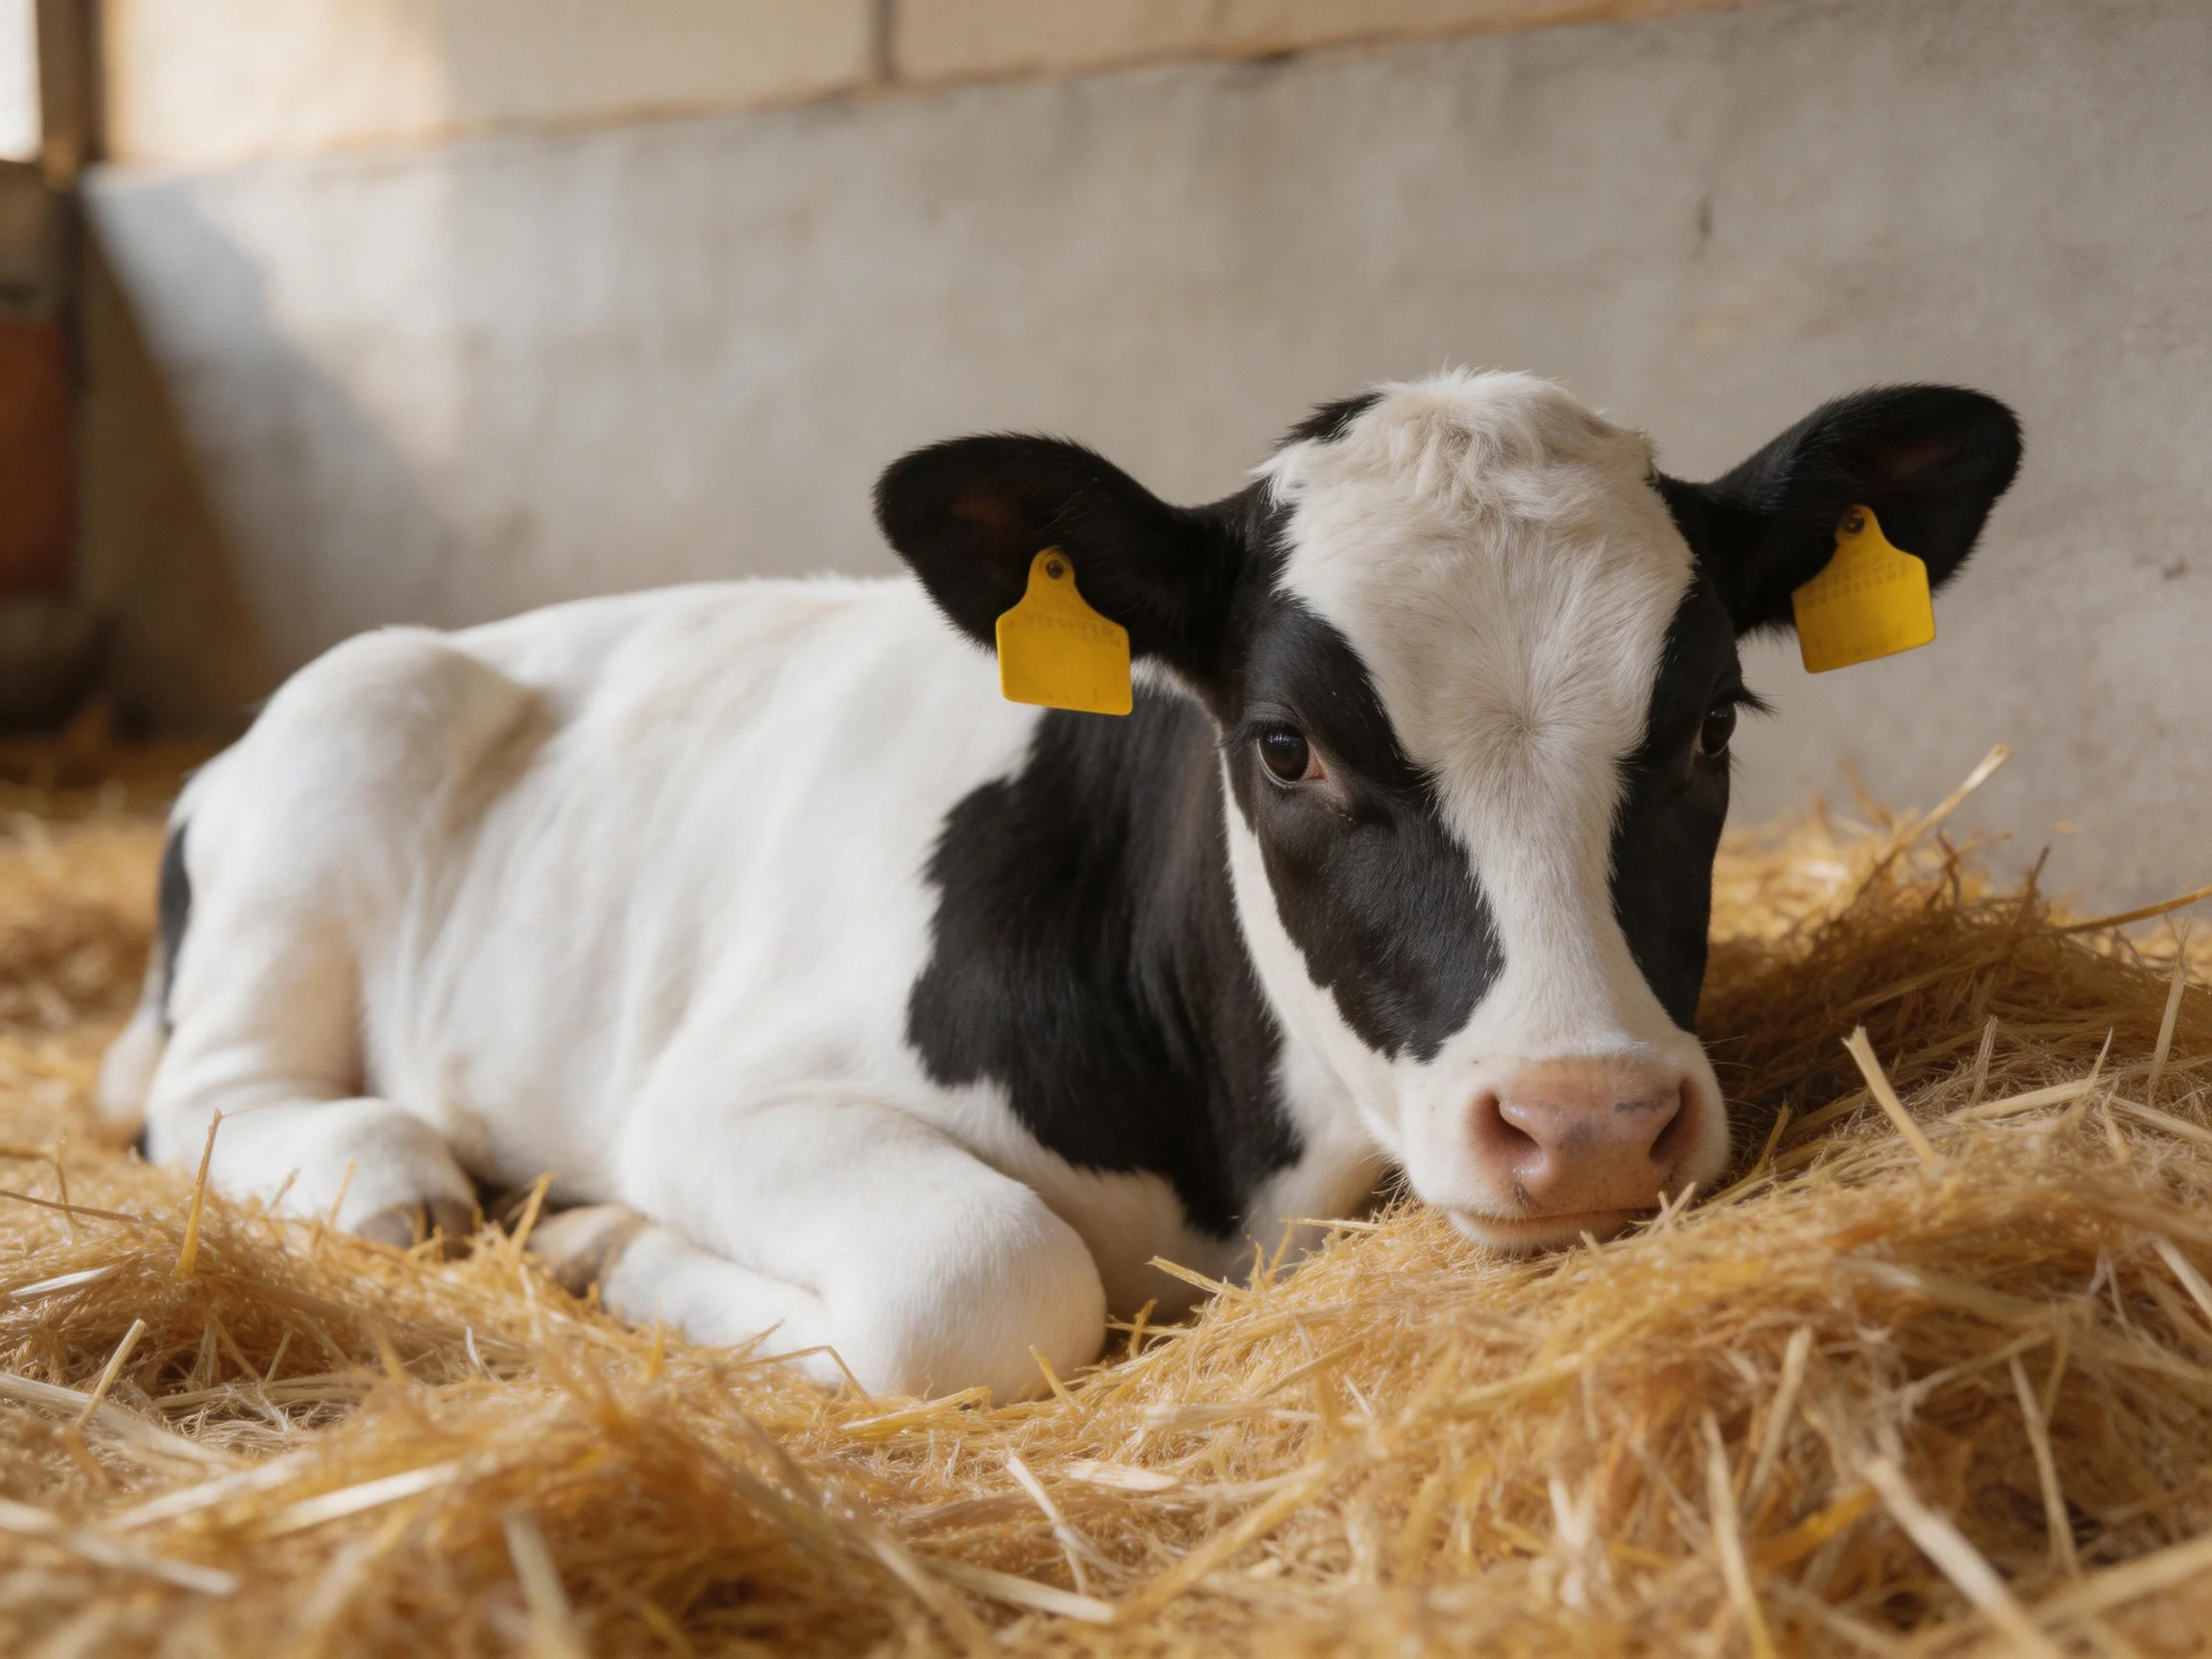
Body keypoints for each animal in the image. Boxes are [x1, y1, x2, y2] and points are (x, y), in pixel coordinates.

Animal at [96, 371, 2020, 1401]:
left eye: (1706, 721)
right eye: (1282, 744)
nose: (1589, 1123)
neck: (1234, 1163)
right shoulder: (719, 1095)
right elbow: (988, 1284)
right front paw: (599, 1238)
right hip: (352, 728)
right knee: (215, 1090)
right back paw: (386, 1171)